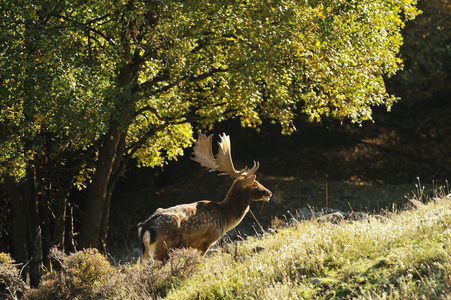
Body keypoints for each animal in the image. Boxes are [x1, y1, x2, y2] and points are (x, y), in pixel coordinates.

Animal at [138, 131, 272, 260]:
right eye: (255, 184)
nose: (269, 192)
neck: (225, 216)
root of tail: (145, 228)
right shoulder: (207, 240)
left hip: (146, 253)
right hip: (162, 249)